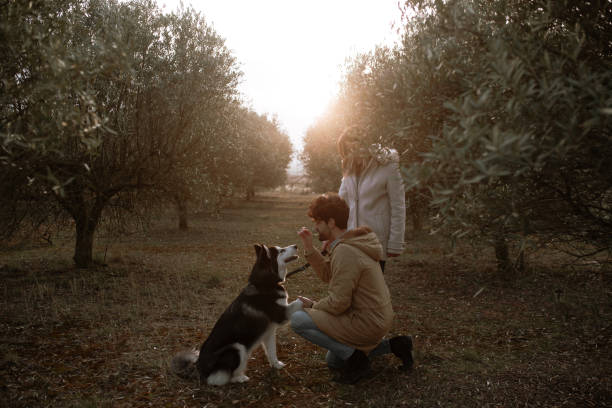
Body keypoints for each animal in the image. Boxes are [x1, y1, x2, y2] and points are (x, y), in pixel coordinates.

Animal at [170, 245, 304, 386]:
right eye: (281, 251)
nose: (296, 246)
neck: (266, 283)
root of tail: (198, 366)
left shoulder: (269, 332)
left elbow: (272, 352)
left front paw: (276, 365)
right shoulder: (281, 314)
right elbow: (298, 302)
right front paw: (309, 301)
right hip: (237, 347)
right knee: (217, 379)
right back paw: (239, 378)